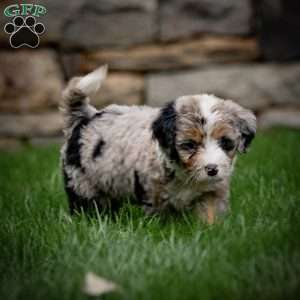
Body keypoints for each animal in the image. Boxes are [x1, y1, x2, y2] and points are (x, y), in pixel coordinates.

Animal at [60, 65, 255, 223]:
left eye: (226, 143)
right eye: (190, 145)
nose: (212, 169)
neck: (185, 175)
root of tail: (85, 117)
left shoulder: (213, 191)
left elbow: (210, 212)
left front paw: (210, 230)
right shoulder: (153, 193)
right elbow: (161, 220)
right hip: (81, 180)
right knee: (88, 204)